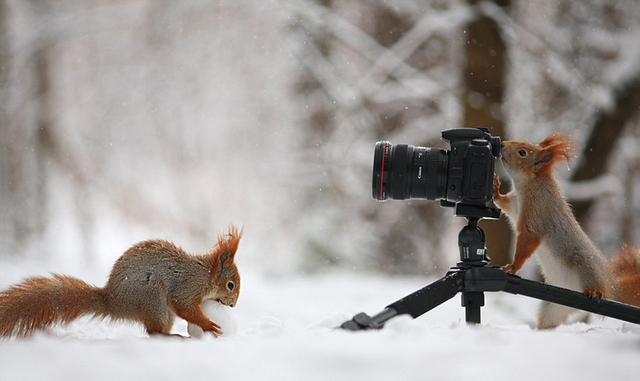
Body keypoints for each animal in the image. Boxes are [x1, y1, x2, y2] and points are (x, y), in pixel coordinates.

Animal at [0, 224, 242, 336]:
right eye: (230, 285)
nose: (232, 306)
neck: (206, 276)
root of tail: (114, 302)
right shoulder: (187, 286)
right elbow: (184, 305)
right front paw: (208, 324)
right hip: (152, 296)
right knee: (153, 332)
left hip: (162, 309)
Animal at [496, 132, 640, 328]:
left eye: (522, 152)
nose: (502, 144)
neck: (528, 185)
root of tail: (611, 285)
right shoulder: (514, 205)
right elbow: (505, 204)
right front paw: (494, 191)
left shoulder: (537, 213)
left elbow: (528, 240)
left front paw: (513, 267)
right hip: (553, 307)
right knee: (548, 321)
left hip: (585, 265)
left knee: (597, 287)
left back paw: (595, 291)